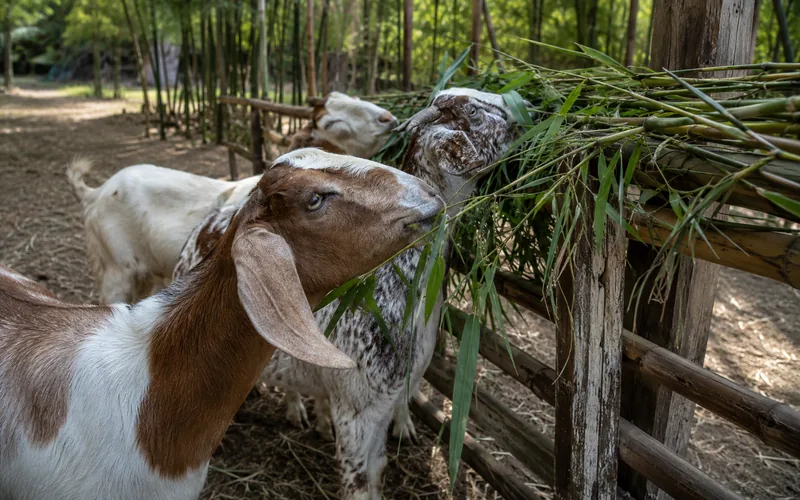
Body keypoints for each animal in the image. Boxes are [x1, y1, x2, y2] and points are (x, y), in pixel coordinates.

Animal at [173, 89, 522, 500]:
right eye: (474, 113)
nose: (526, 111)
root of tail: (212, 225)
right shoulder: (357, 412)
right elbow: (359, 482)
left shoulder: (386, 403)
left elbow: (378, 469)